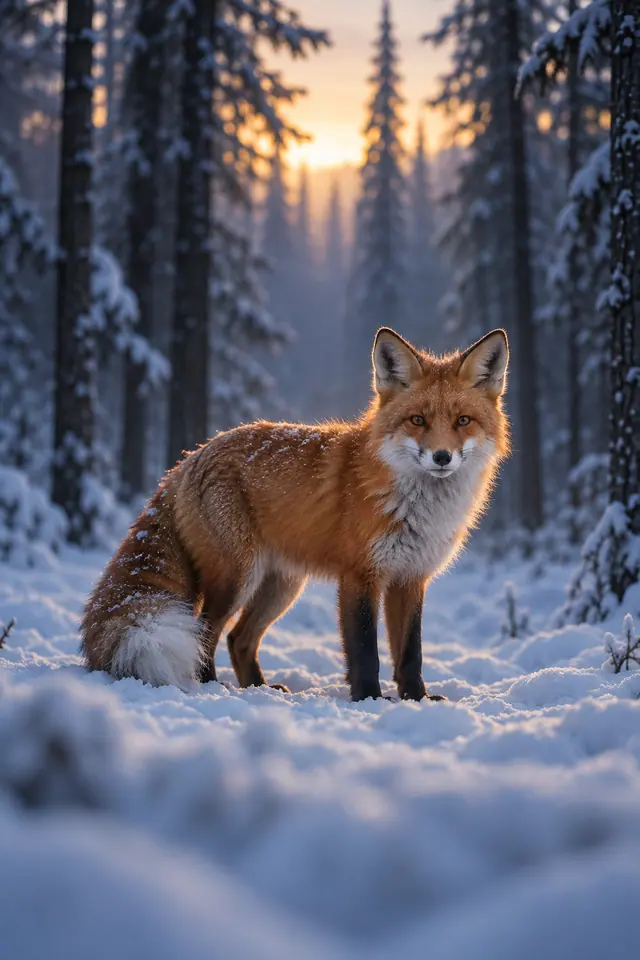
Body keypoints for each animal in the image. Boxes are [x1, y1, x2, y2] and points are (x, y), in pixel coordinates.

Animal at [82, 326, 509, 701]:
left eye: (463, 421)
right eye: (417, 420)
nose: (442, 457)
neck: (416, 507)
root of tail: (188, 459)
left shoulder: (411, 578)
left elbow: (410, 653)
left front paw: (416, 699)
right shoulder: (360, 575)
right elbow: (365, 651)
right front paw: (369, 700)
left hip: (281, 585)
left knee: (238, 638)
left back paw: (258, 688)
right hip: (237, 576)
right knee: (205, 631)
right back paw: (211, 687)